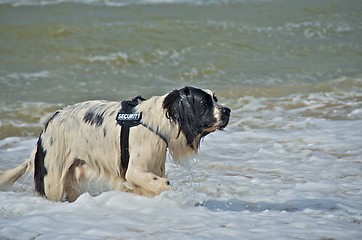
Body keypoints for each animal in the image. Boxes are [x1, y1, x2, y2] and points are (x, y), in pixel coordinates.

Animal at [0, 85, 230, 202]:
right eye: (205, 103)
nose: (227, 111)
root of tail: (44, 131)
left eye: (215, 99)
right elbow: (163, 184)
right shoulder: (135, 171)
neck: (156, 121)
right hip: (53, 181)